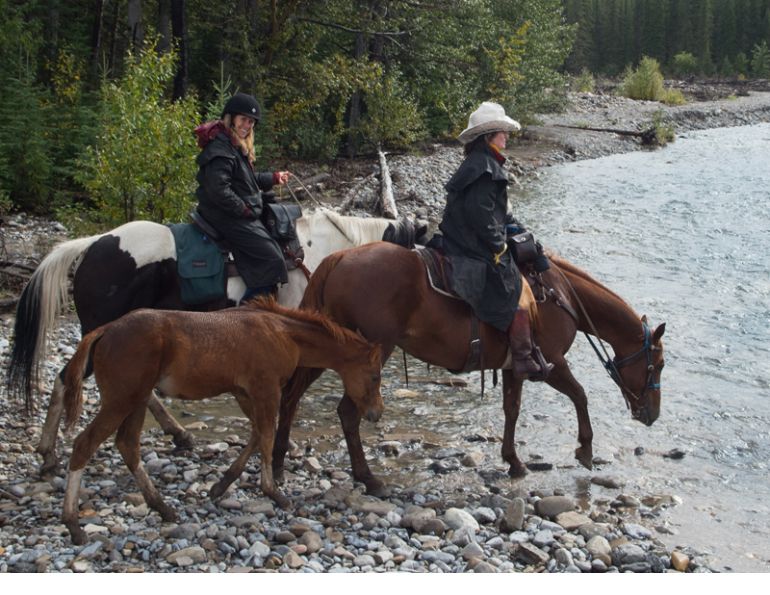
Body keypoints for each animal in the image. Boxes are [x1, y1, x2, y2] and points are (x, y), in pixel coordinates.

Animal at [60, 298, 384, 545]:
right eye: (375, 376)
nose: (376, 413)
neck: (282, 333)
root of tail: (105, 329)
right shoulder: (266, 389)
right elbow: (266, 436)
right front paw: (274, 493)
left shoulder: (243, 392)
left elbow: (256, 433)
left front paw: (221, 485)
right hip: (122, 399)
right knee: (85, 444)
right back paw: (73, 524)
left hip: (136, 400)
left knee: (128, 445)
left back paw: (162, 508)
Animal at [271, 242, 665, 495]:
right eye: (658, 365)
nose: (651, 415)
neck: (560, 294)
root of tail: (338, 258)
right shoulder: (553, 364)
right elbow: (581, 396)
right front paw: (584, 451)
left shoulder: (515, 367)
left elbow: (512, 409)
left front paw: (513, 461)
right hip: (366, 357)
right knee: (347, 412)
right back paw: (368, 478)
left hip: (326, 347)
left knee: (290, 397)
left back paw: (277, 463)